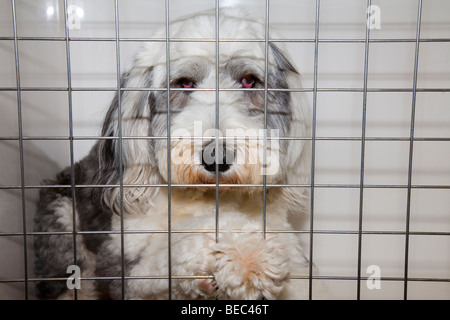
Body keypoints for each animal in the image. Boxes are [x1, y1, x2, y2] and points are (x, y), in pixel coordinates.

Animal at [33, 8, 312, 300]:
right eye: (184, 83)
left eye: (249, 81)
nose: (217, 157)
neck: (211, 198)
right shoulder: (125, 264)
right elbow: (171, 247)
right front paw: (246, 251)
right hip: (62, 220)